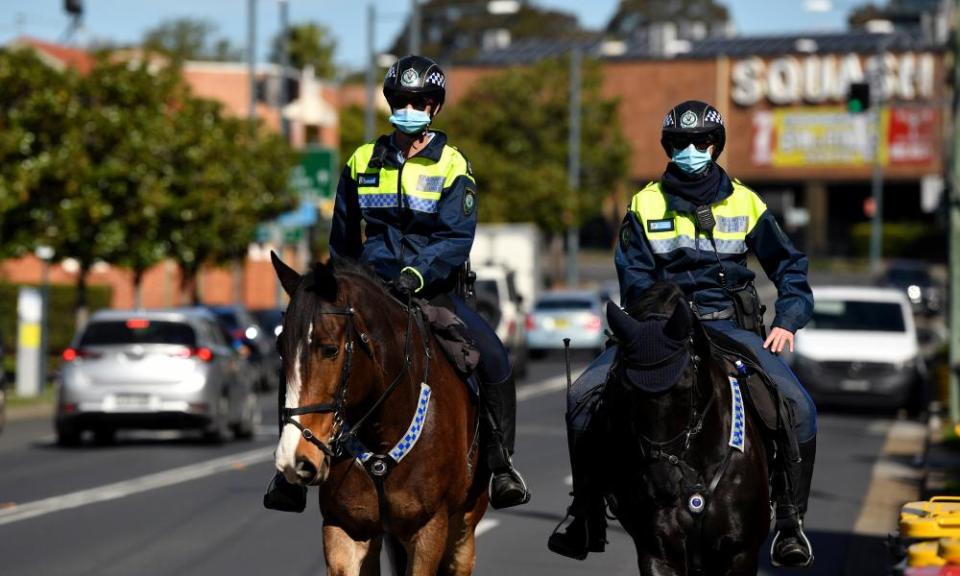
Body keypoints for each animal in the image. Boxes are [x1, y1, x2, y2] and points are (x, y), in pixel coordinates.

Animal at [274, 254, 492, 576]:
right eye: (280, 349)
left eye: (330, 349)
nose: (294, 459)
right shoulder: (344, 528)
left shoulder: (430, 530)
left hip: (464, 526)